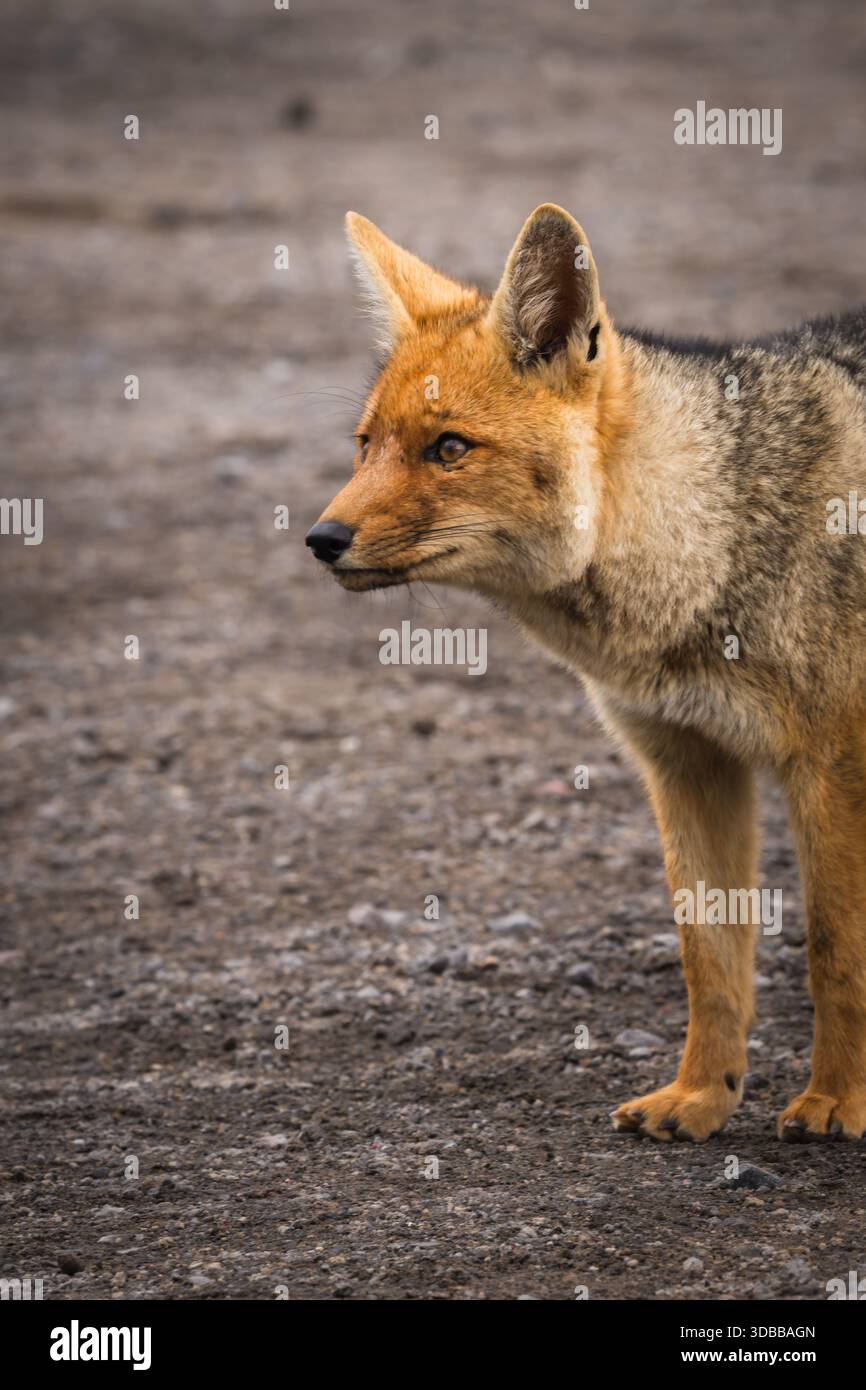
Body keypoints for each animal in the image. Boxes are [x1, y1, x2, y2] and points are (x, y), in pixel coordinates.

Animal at [306, 202, 866, 1144]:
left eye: (448, 448)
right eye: (365, 446)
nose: (320, 540)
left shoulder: (830, 770)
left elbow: (835, 947)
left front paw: (838, 1102)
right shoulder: (687, 763)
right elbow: (709, 960)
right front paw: (701, 1097)